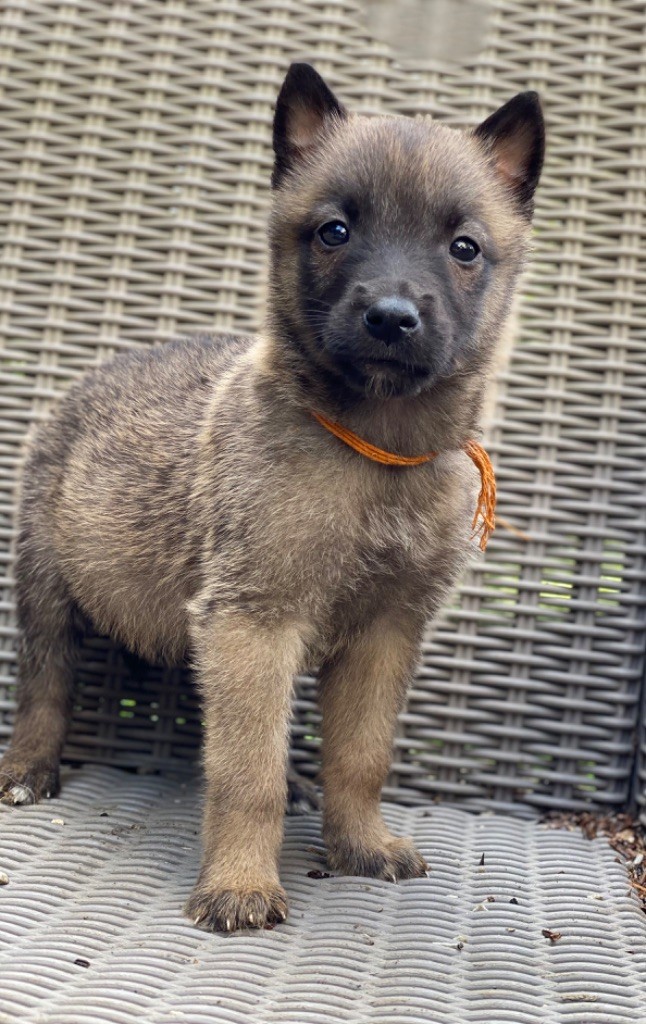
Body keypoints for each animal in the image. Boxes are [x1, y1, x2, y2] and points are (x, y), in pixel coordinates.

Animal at [0, 63, 543, 931]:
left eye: (464, 248)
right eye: (334, 231)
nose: (391, 317)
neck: (375, 451)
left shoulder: (381, 634)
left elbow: (359, 755)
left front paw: (360, 844)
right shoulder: (255, 620)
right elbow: (245, 769)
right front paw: (241, 884)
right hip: (48, 585)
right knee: (46, 685)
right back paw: (27, 769)